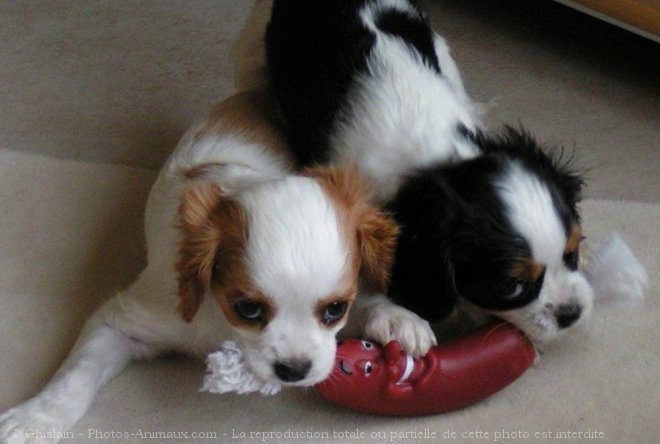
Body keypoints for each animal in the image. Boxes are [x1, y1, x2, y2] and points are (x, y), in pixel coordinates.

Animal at [0, 89, 398, 440]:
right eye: (248, 308)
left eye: (336, 309)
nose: (294, 370)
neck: (222, 321)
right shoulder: (126, 319)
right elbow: (77, 374)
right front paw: (34, 418)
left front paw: (396, 319)